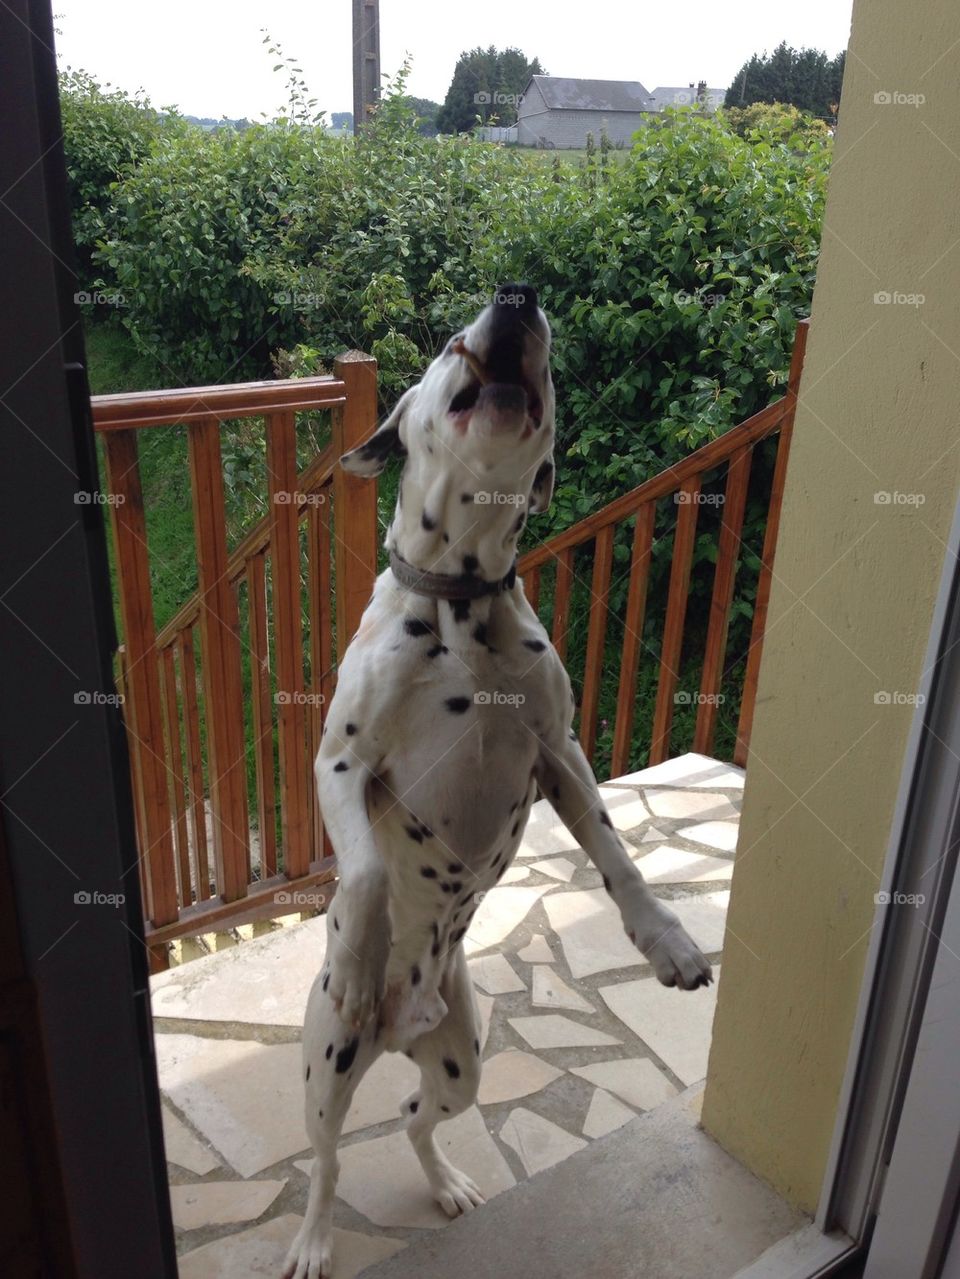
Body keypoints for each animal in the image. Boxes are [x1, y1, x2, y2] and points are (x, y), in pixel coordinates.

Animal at [281, 285, 710, 1273]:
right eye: (448, 342)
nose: (518, 298)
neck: (461, 600)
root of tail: (400, 1028)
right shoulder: (340, 763)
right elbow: (364, 870)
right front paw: (356, 955)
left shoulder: (558, 749)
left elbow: (617, 855)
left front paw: (665, 941)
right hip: (327, 1067)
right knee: (326, 1162)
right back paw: (317, 1237)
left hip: (461, 1062)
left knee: (414, 1117)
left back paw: (446, 1183)